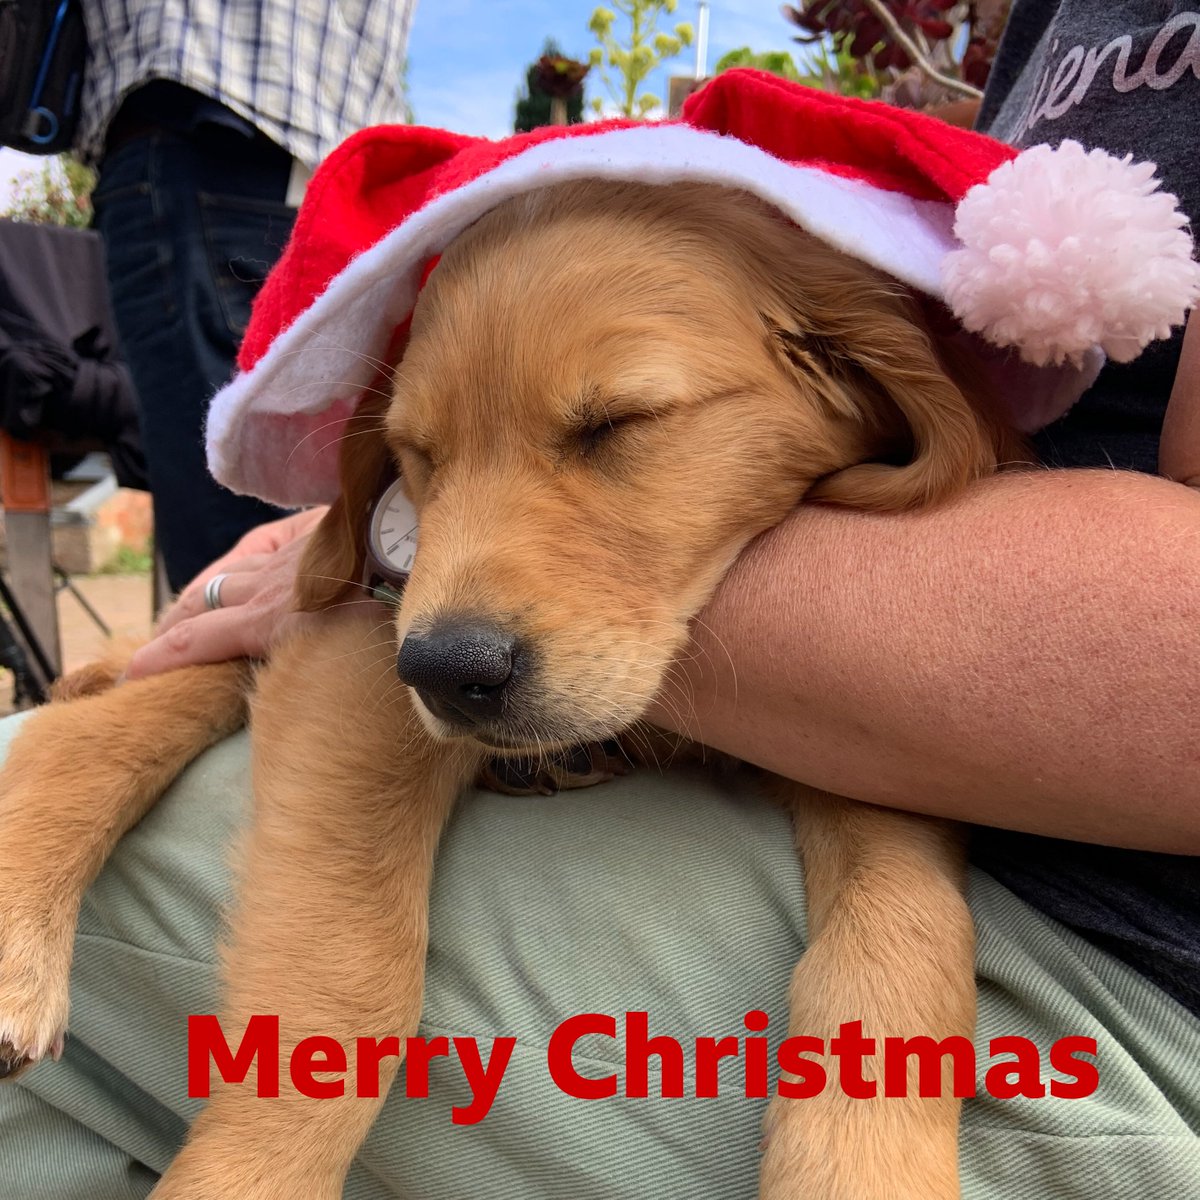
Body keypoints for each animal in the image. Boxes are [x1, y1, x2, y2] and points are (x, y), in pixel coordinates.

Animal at [0, 177, 1027, 1200]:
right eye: (418, 455)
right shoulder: (362, 646)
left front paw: (866, 1161)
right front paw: (245, 1173)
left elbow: (912, 927)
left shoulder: (867, 749)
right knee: (87, 729)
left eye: (616, 425)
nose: (445, 672)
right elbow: (346, 977)